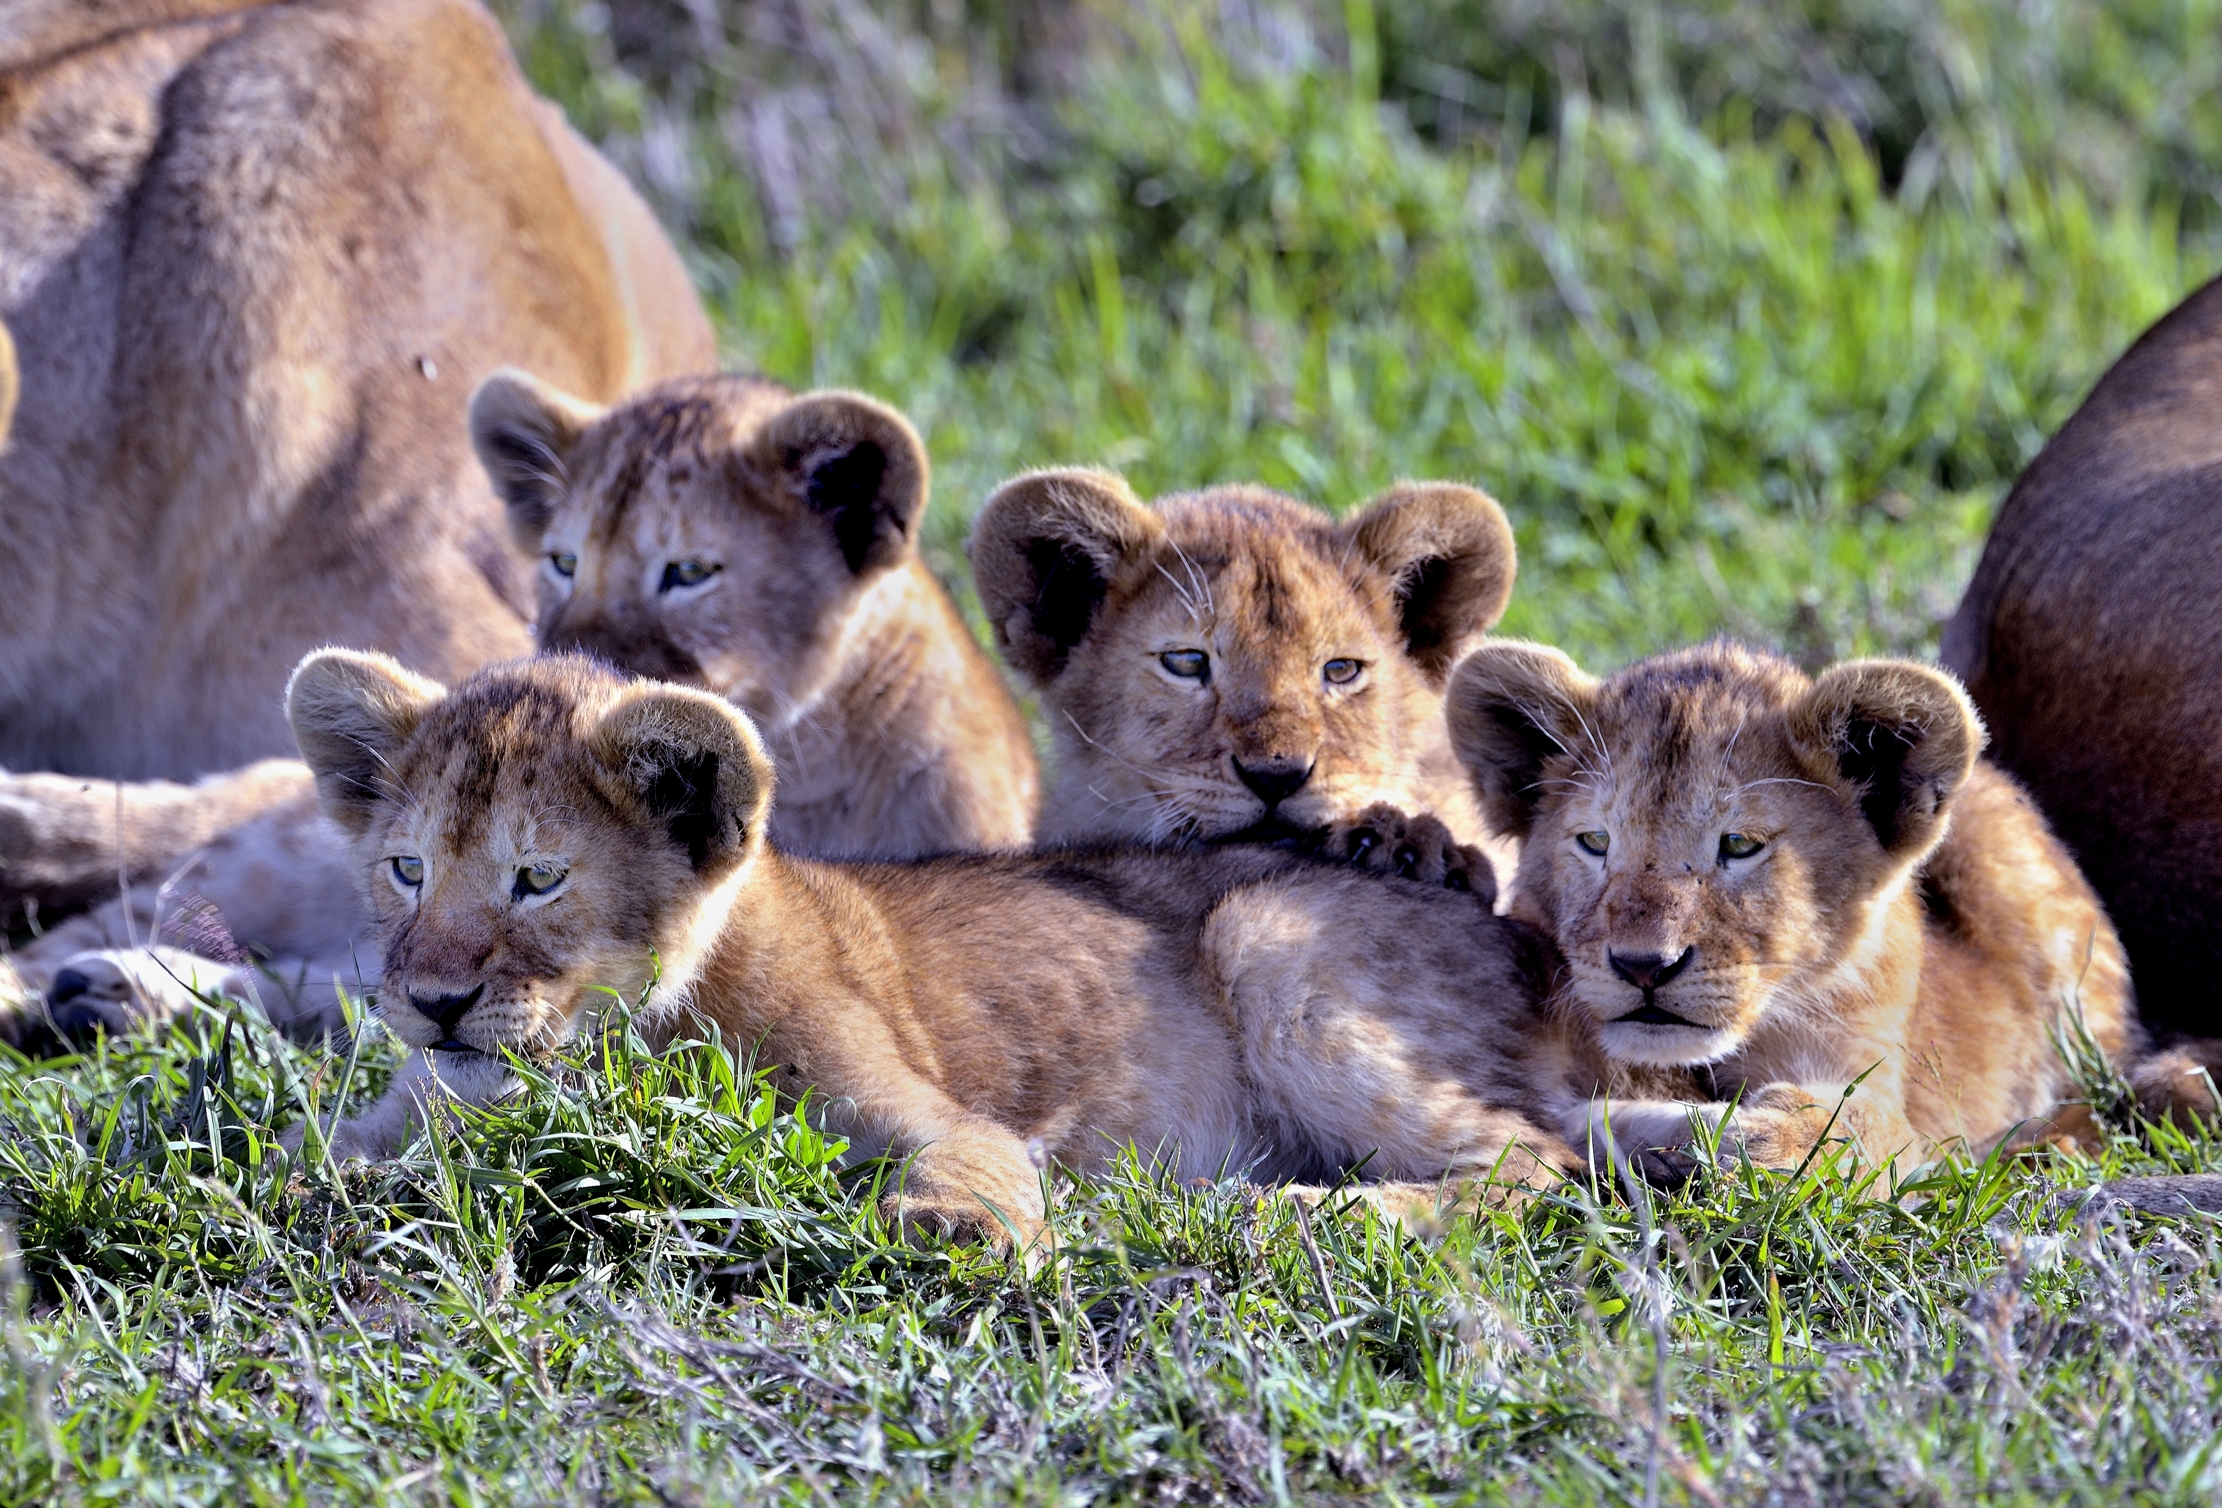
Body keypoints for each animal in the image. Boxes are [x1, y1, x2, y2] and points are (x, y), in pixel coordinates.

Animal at [2, 373, 1037, 1045]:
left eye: (690, 572)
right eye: (562, 560)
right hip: (272, 861)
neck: (806, 766)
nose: (560, 660)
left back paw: (119, 998)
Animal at [277, 650, 1577, 1248]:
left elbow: (969, 1162)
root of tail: (1521, 933)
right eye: (407, 868)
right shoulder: (396, 1113)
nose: (432, 1002)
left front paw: (954, 1226)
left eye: (537, 878)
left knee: (1535, 1160)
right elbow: (304, 1165)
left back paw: (1298, 1212)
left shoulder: (943, 1117)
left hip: (1263, 933)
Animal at [1437, 638, 2215, 1173]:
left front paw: (1755, 1136)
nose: (1643, 967)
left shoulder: (1892, 1102)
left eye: (1740, 845)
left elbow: (1856, 1131)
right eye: (1595, 841)